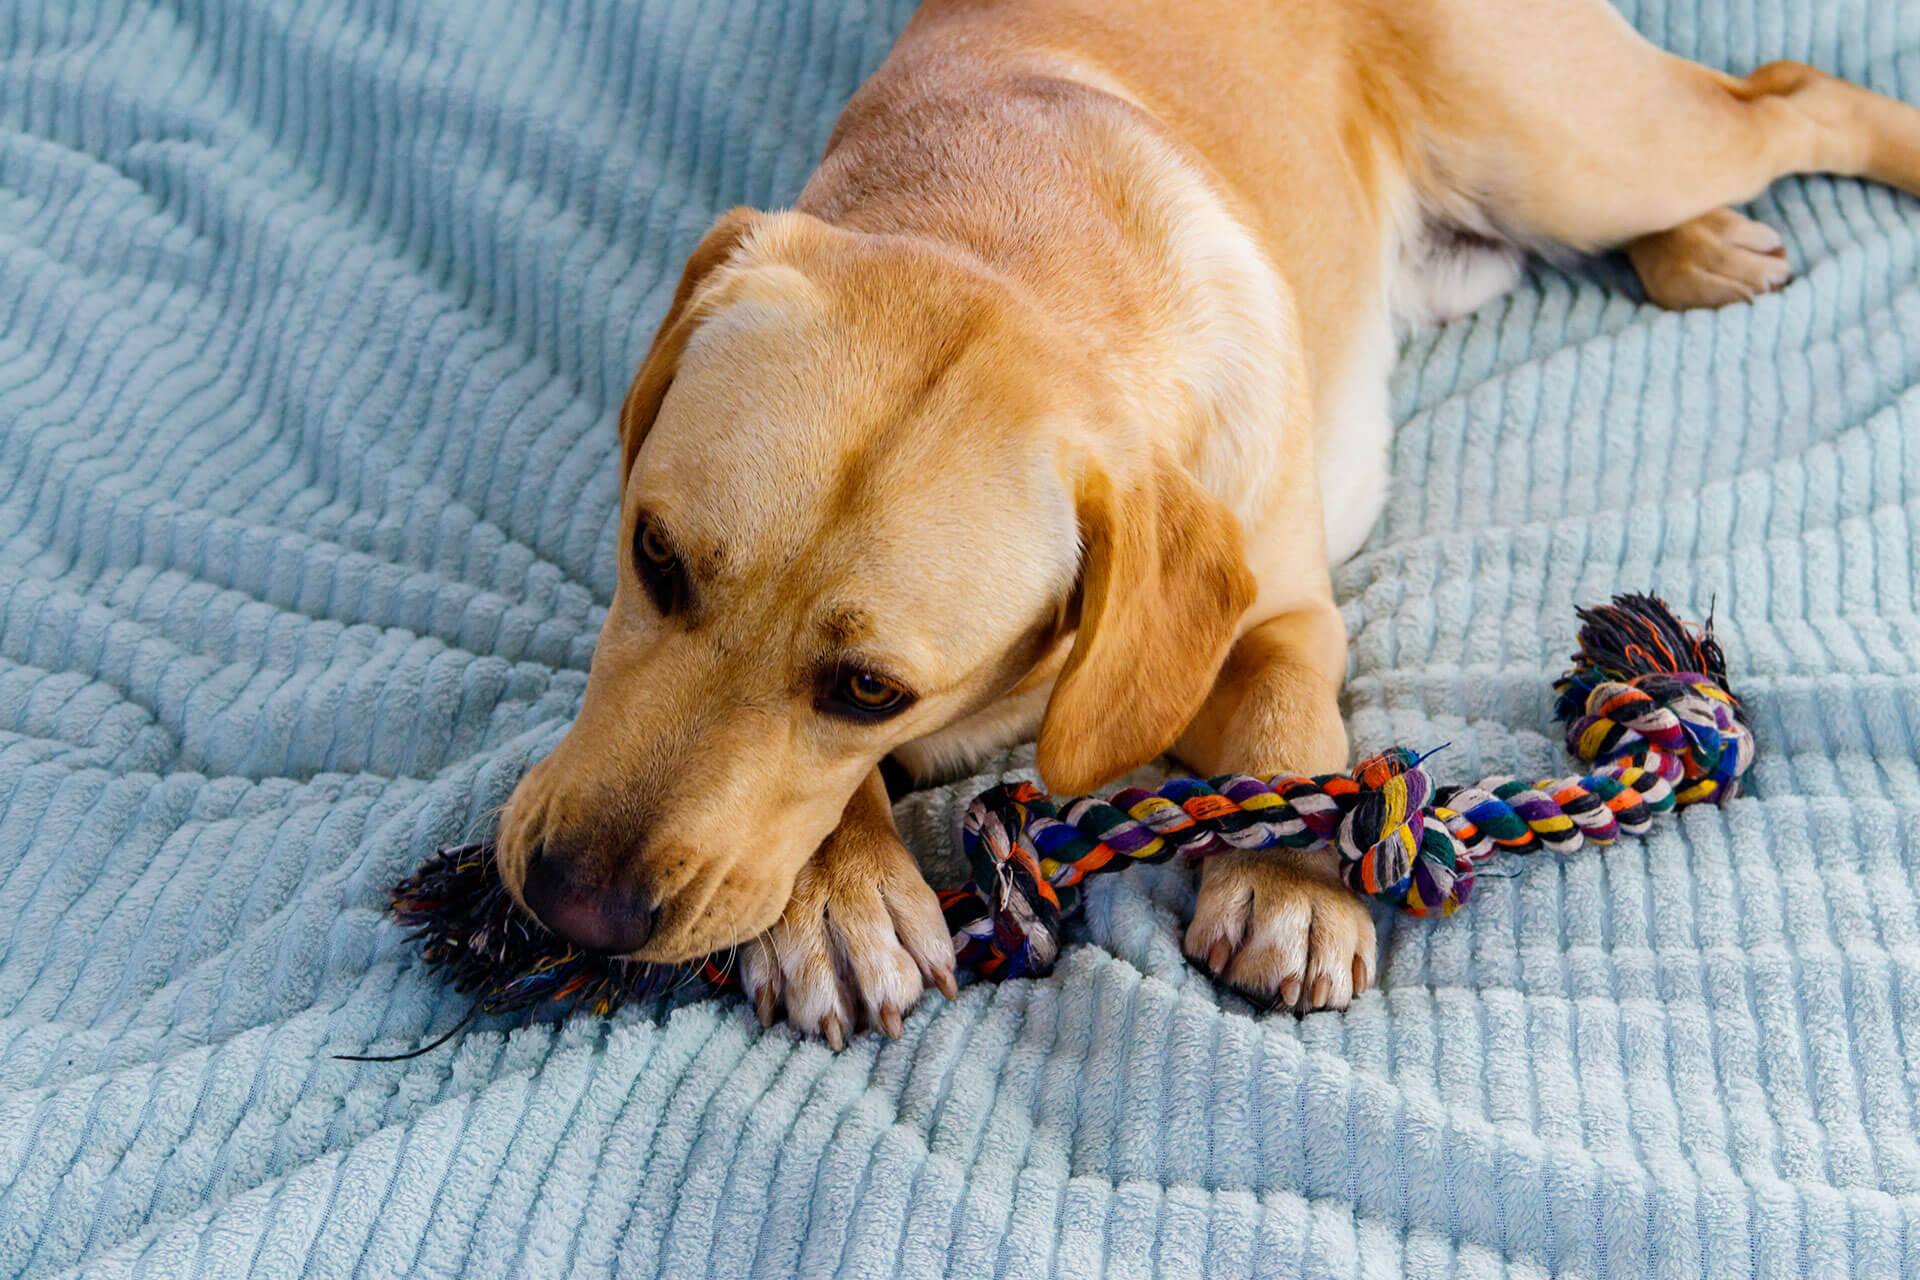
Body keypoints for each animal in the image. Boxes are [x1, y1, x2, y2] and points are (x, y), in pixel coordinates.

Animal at [495, 0, 1920, 1051]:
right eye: (653, 556)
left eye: (865, 689)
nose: (575, 904)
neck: (1002, 239)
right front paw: (841, 890)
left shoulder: (1281, 604)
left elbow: (1292, 731)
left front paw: (1296, 881)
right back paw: (1699, 246)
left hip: (1576, 147)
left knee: (1795, 94)